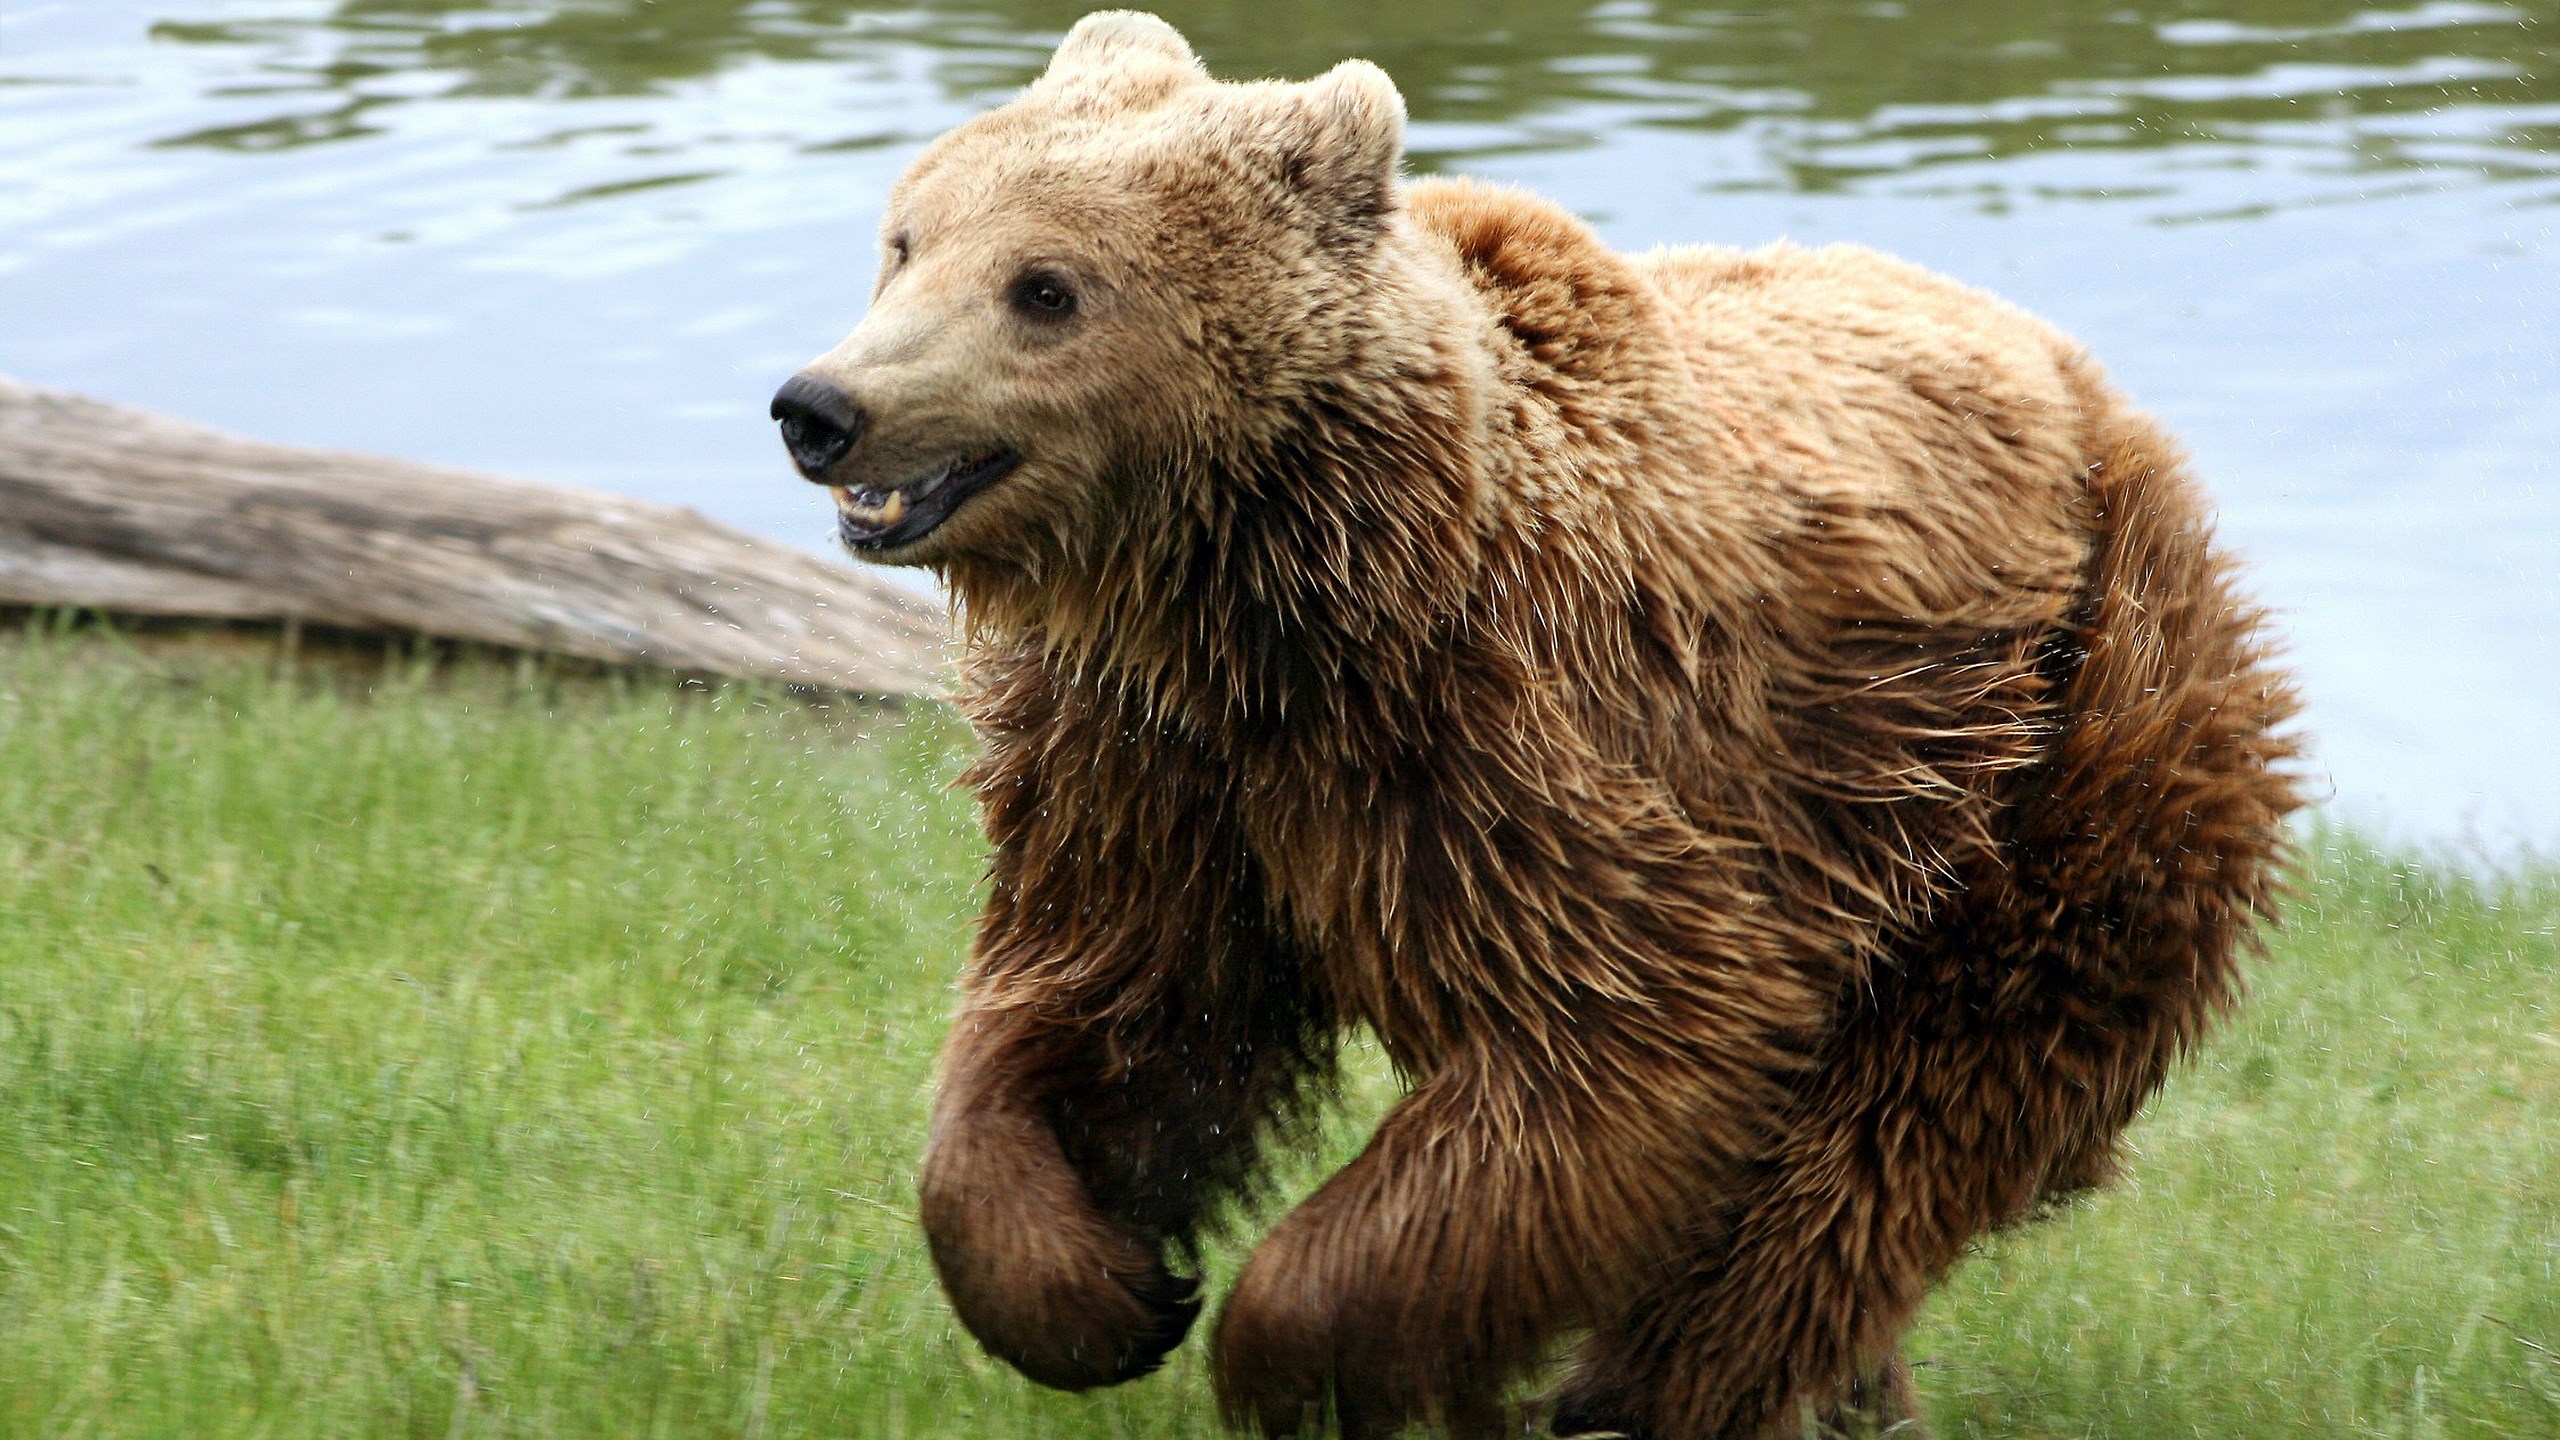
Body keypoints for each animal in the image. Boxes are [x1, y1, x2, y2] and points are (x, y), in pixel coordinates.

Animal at [769, 12, 2304, 1438]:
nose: (821, 406)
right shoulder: (1149, 764)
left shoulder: (1519, 741)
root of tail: (2087, 385)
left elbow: (1622, 1048)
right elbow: (1110, 1006)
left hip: (2049, 749)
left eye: (1045, 287)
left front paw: (1287, 1356)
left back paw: (1649, 1388)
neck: (1263, 591)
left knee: (1898, 1126)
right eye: (906, 241)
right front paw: (1102, 1287)